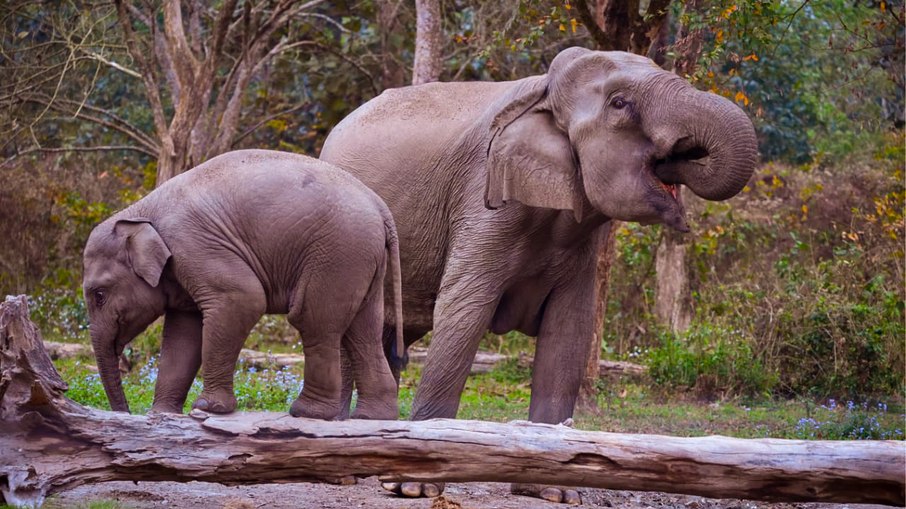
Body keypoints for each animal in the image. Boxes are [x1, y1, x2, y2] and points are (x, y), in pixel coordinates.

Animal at [82, 149, 404, 421]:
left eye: (99, 295)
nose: (125, 413)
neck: (141, 210)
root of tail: (380, 207)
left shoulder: (194, 246)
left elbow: (243, 300)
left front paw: (207, 408)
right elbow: (182, 333)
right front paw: (162, 415)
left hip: (336, 254)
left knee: (313, 321)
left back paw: (306, 412)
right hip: (363, 261)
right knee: (364, 330)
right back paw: (372, 417)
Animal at [320, 48, 757, 501]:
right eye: (620, 103)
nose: (682, 159)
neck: (543, 94)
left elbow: (569, 331)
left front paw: (555, 490)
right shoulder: (483, 204)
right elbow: (463, 314)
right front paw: (414, 486)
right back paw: (341, 470)